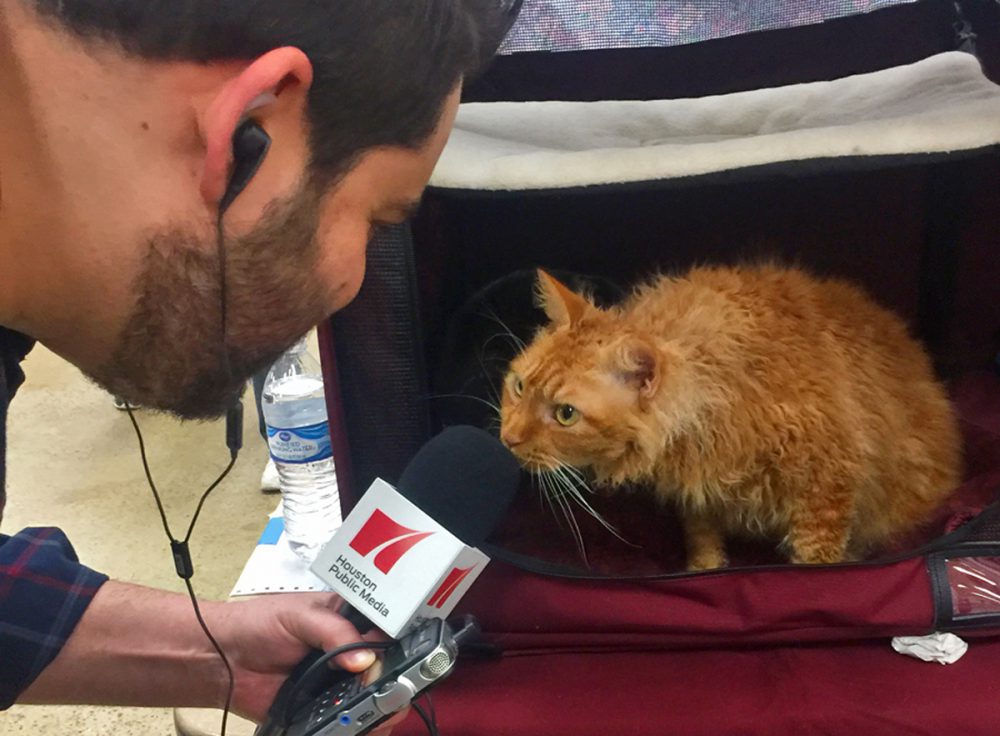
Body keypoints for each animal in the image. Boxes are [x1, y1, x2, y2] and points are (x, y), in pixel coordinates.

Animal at [500, 266, 960, 568]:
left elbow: (815, 564)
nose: (507, 439)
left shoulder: (827, 488)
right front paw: (704, 571)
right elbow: (703, 540)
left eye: (565, 414)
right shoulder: (699, 489)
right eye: (519, 386)